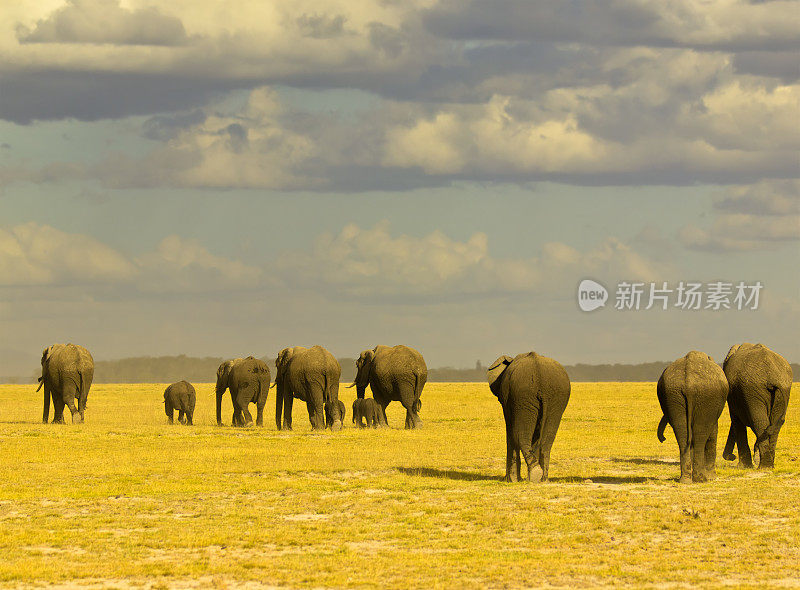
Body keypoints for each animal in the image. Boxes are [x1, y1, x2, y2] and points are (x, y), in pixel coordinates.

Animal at [488, 354, 568, 484]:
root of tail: (540, 375)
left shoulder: (508, 401)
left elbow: (510, 431)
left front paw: (511, 480)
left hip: (523, 397)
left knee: (519, 434)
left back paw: (534, 475)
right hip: (556, 398)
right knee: (547, 439)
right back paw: (542, 479)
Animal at [656, 352, 732, 486]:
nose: (663, 438)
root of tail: (689, 383)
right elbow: (712, 435)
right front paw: (713, 477)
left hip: (674, 395)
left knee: (683, 436)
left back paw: (686, 480)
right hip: (705, 397)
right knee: (700, 435)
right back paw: (701, 479)